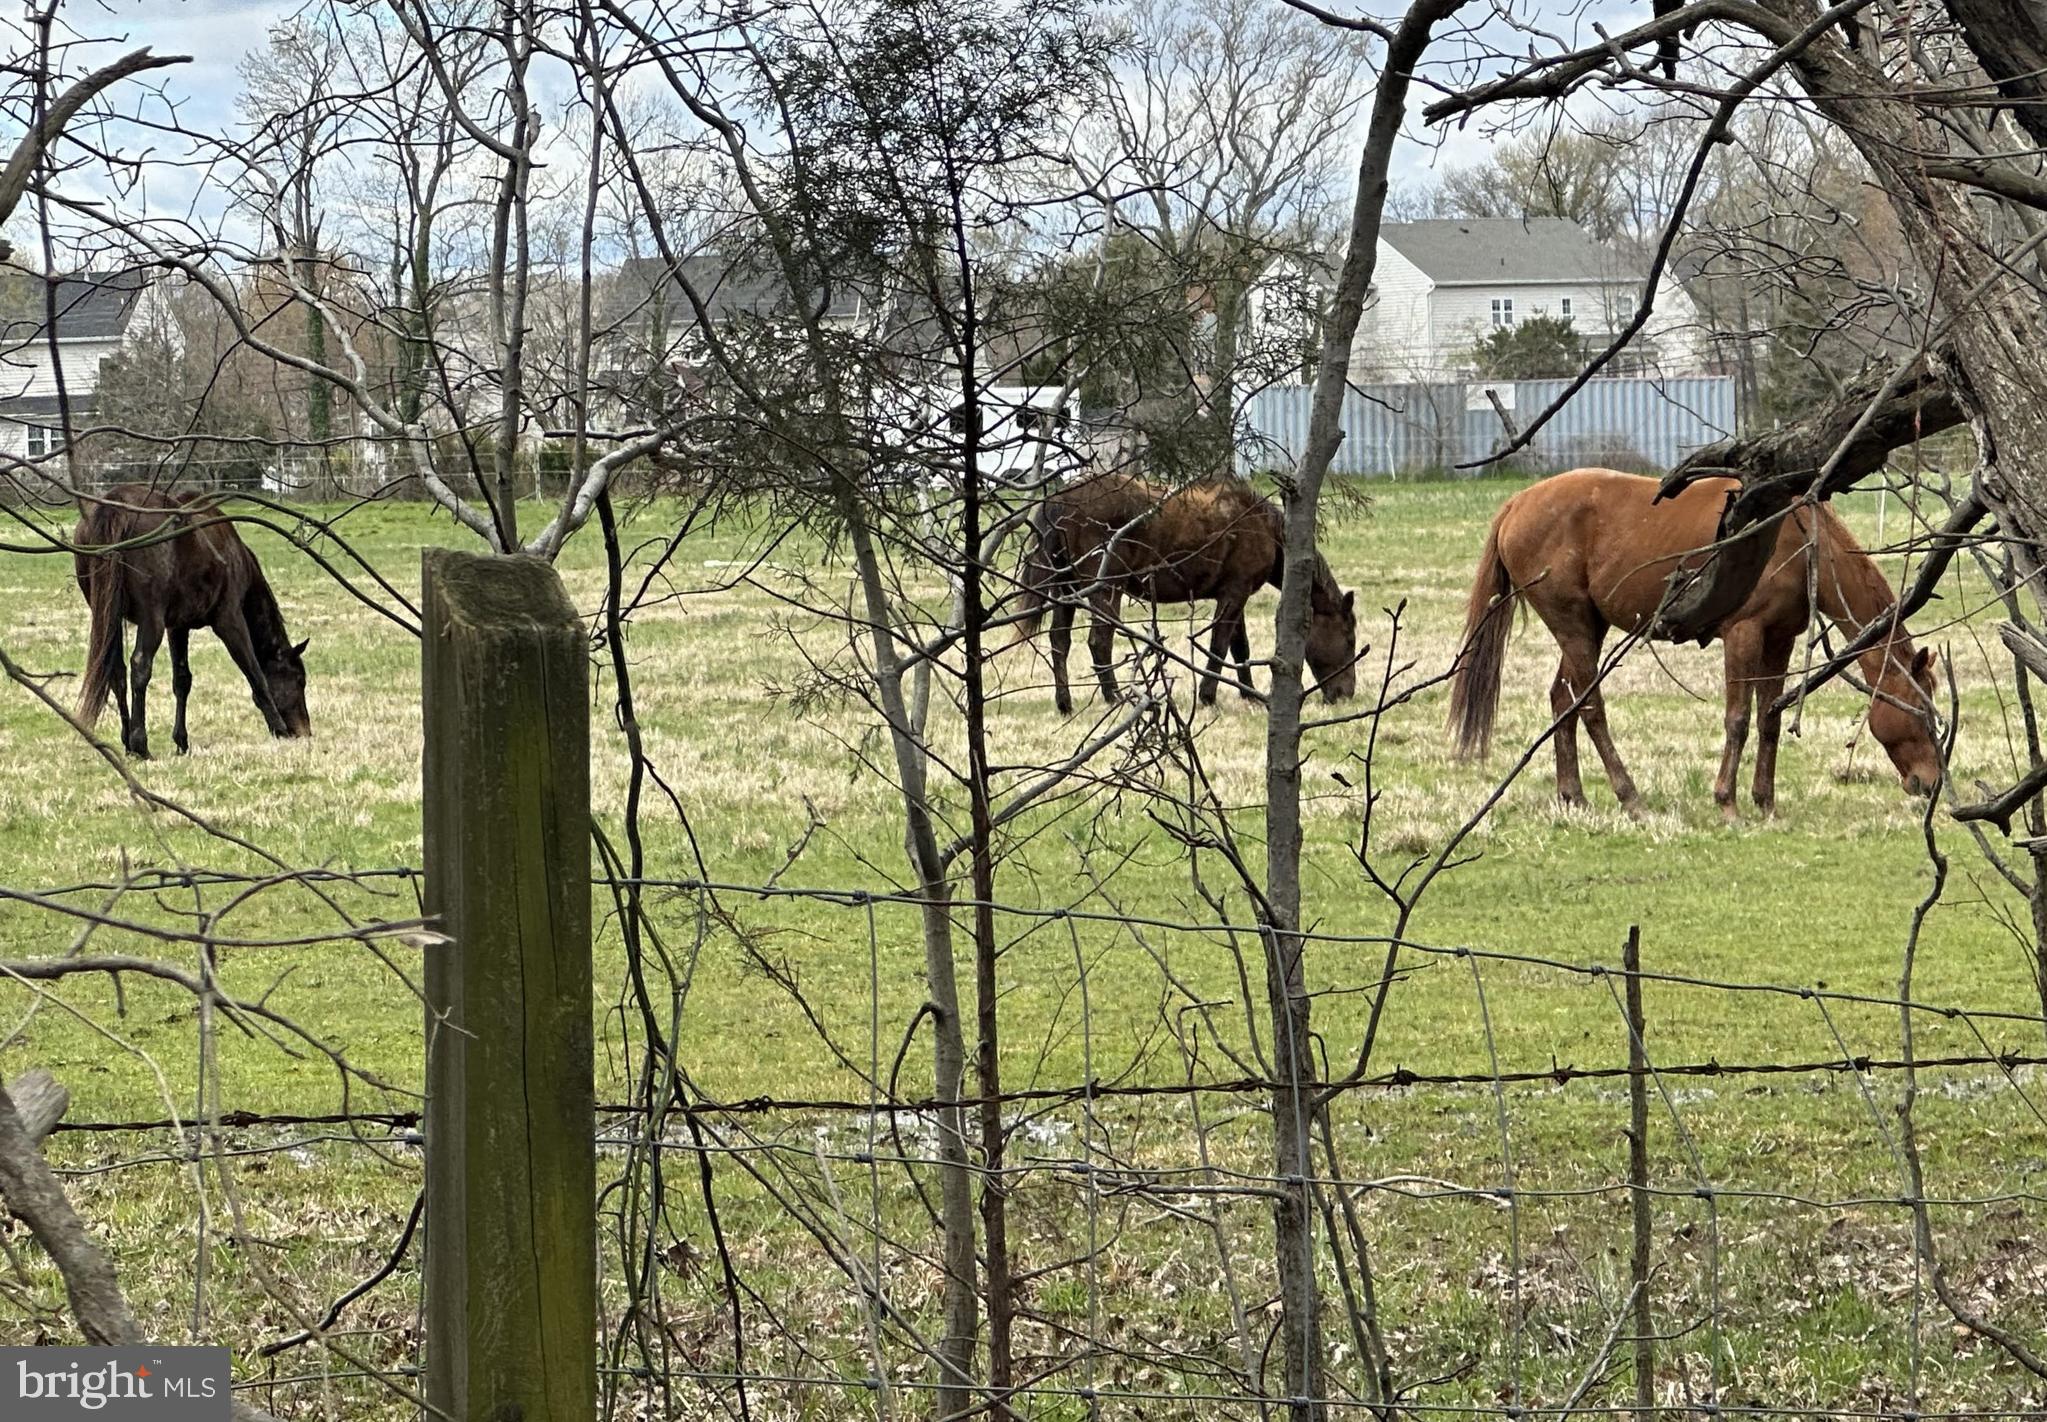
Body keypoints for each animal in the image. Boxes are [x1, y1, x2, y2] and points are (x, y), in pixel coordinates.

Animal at [74, 484, 312, 759]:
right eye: (299, 680)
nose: (305, 731)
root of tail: (115, 504)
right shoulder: (229, 620)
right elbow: (255, 674)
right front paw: (279, 728)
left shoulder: (177, 627)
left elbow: (182, 680)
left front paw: (181, 741)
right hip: (150, 619)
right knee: (140, 666)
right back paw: (140, 745)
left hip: (108, 616)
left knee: (116, 672)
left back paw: (128, 744)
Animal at [1012, 472, 1358, 713]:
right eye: (1349, 639)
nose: (1346, 694)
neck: (1260, 525)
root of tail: (1060, 500)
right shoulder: (1235, 593)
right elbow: (1219, 645)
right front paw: (1208, 696)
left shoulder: (1235, 594)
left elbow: (1240, 648)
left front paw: (1248, 694)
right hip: (1106, 589)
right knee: (1099, 641)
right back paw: (1114, 696)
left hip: (1065, 589)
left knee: (1059, 642)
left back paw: (1065, 702)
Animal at [1448, 468, 1939, 819]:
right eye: (1920, 710)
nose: (1930, 781)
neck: (1798, 539)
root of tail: (1518, 503)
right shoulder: (1743, 635)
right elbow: (1738, 720)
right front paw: (1728, 803)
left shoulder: (1779, 640)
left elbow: (1770, 718)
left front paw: (1766, 802)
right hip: (1575, 628)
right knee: (1591, 709)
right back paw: (1631, 799)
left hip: (1587, 629)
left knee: (1562, 701)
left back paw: (1574, 796)